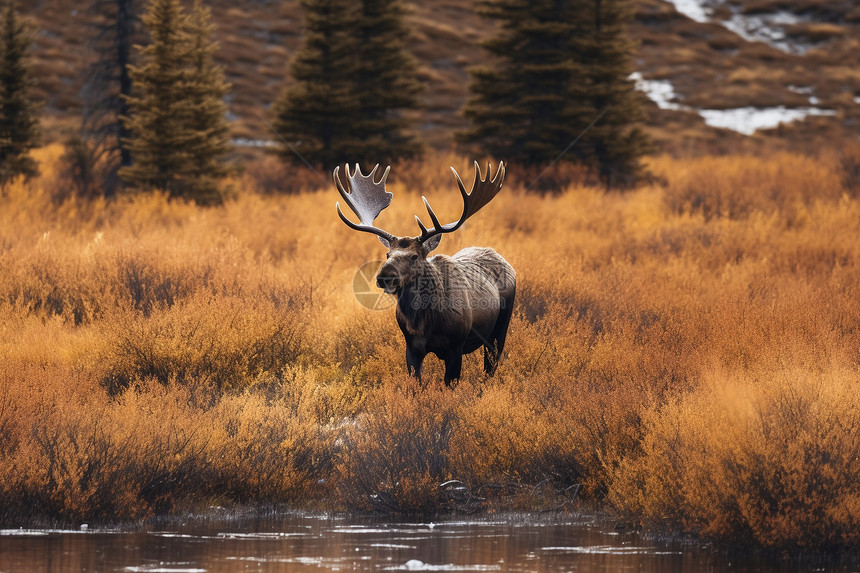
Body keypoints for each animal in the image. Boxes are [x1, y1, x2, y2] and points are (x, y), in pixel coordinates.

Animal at [332, 161, 512, 384]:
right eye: (387, 253)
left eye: (414, 256)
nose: (385, 276)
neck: (424, 324)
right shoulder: (412, 348)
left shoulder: (456, 347)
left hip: (500, 327)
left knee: (491, 366)